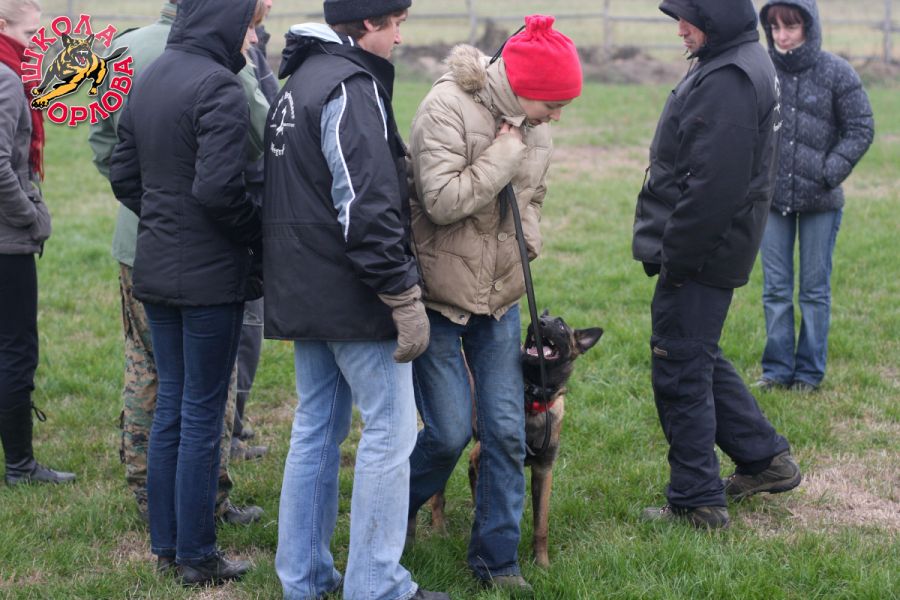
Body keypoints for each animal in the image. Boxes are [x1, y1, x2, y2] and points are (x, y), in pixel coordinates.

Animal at [418, 310, 603, 568]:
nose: (539, 322)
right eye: (544, 315)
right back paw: (438, 530)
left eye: (560, 325)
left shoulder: (544, 471)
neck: (532, 400)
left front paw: (542, 564)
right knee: (438, 488)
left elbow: (541, 524)